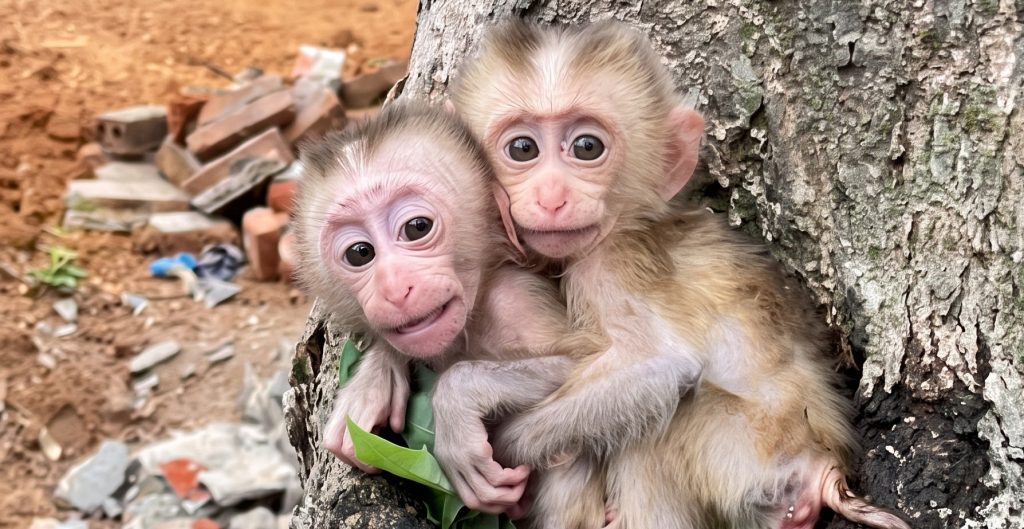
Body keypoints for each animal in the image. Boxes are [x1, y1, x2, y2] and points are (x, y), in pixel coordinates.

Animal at [291, 101, 609, 523]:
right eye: (359, 253)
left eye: (417, 228)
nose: (395, 288)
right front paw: (375, 381)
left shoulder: (515, 300)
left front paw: (456, 409)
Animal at [435, 20, 911, 529]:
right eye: (522, 149)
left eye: (587, 147)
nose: (551, 196)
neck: (634, 220)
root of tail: (827, 467)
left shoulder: (610, 263)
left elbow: (660, 362)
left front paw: (496, 433)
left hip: (748, 450)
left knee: (663, 416)